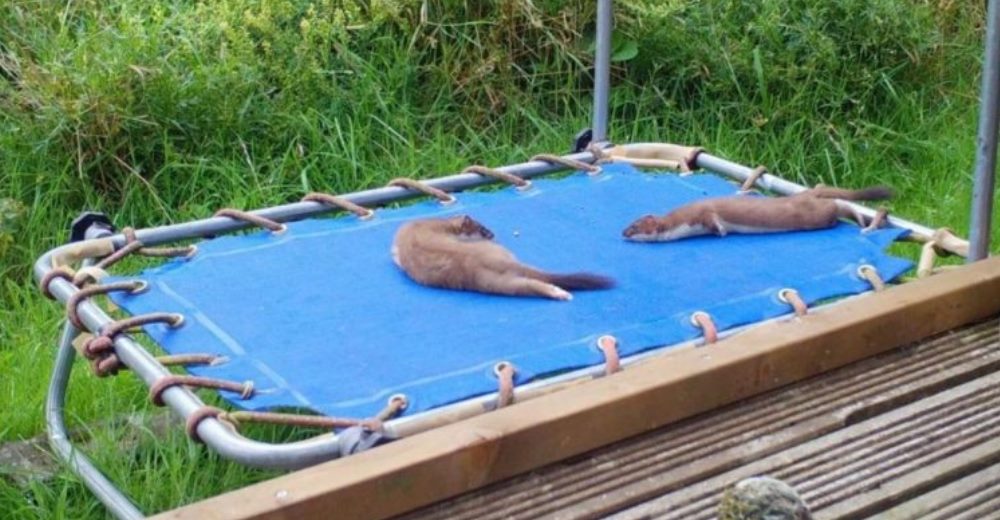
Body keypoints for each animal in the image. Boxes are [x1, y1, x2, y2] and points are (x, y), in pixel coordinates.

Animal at [392, 214, 612, 300]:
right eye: (483, 229)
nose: (493, 234)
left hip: (493, 282)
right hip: (494, 282)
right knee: (531, 284)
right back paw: (561, 293)